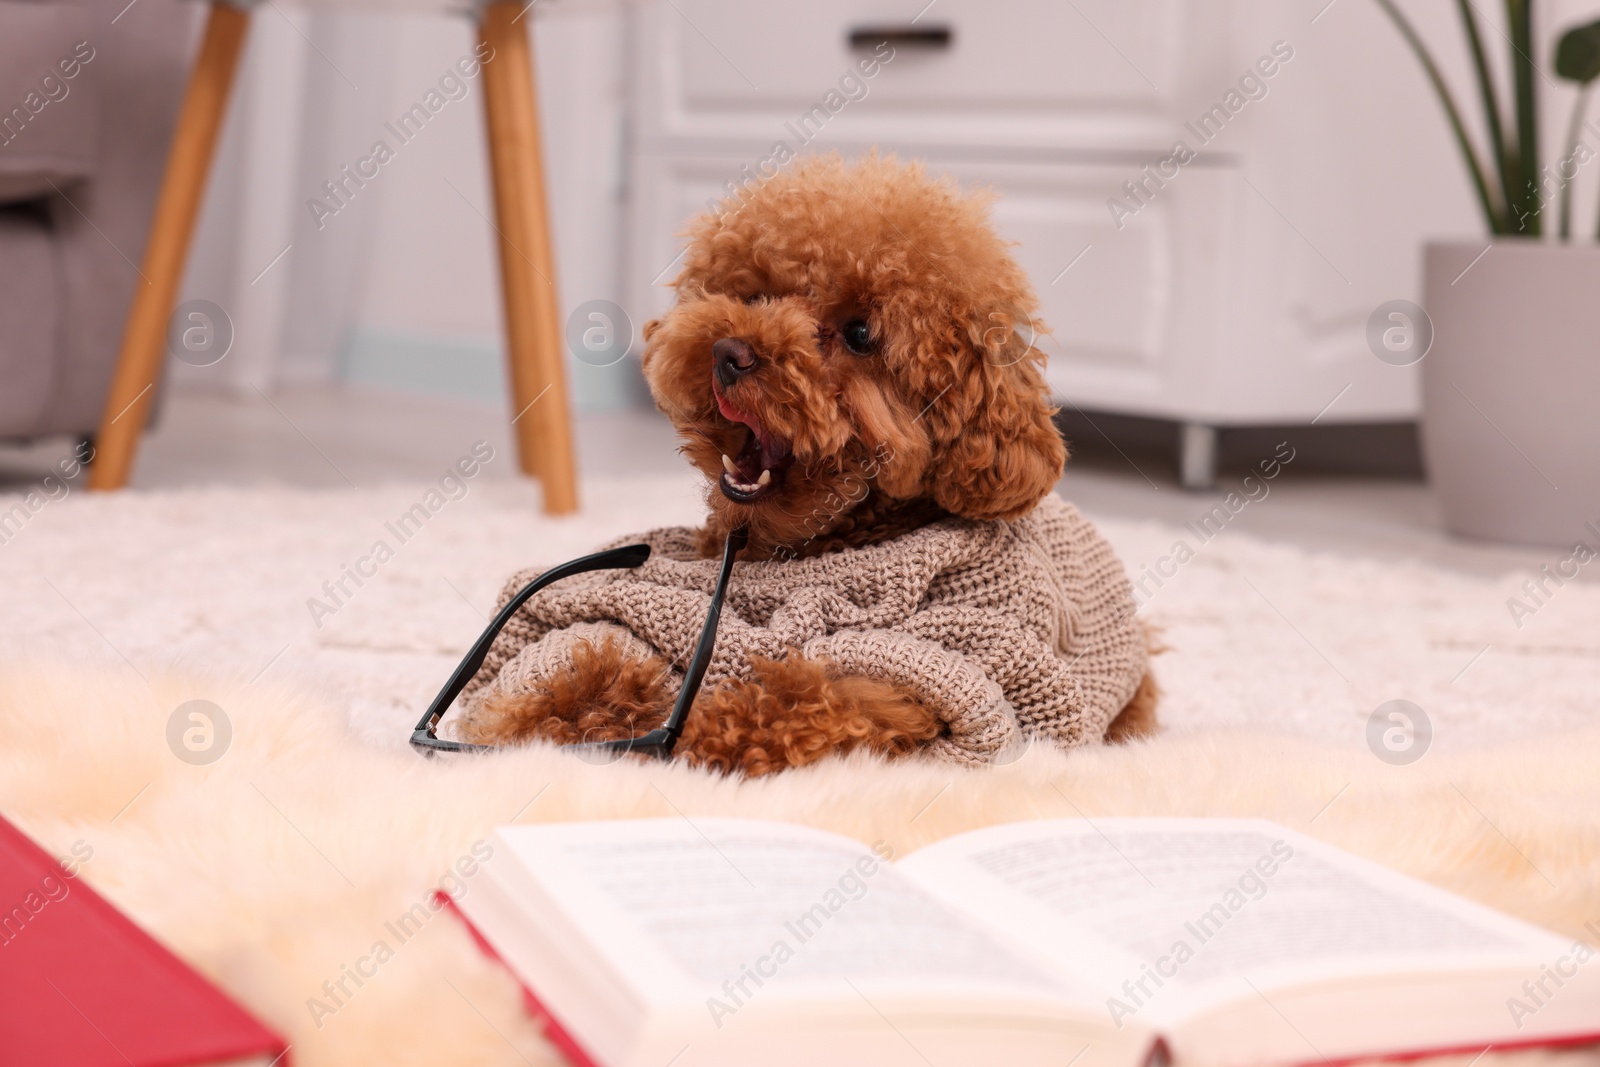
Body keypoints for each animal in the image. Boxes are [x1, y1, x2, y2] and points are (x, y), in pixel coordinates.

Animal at [464, 154, 1164, 777]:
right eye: (756, 292)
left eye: (860, 334)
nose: (728, 352)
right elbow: (597, 653)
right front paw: (550, 715)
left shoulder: (935, 661)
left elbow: (816, 695)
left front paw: (701, 734)